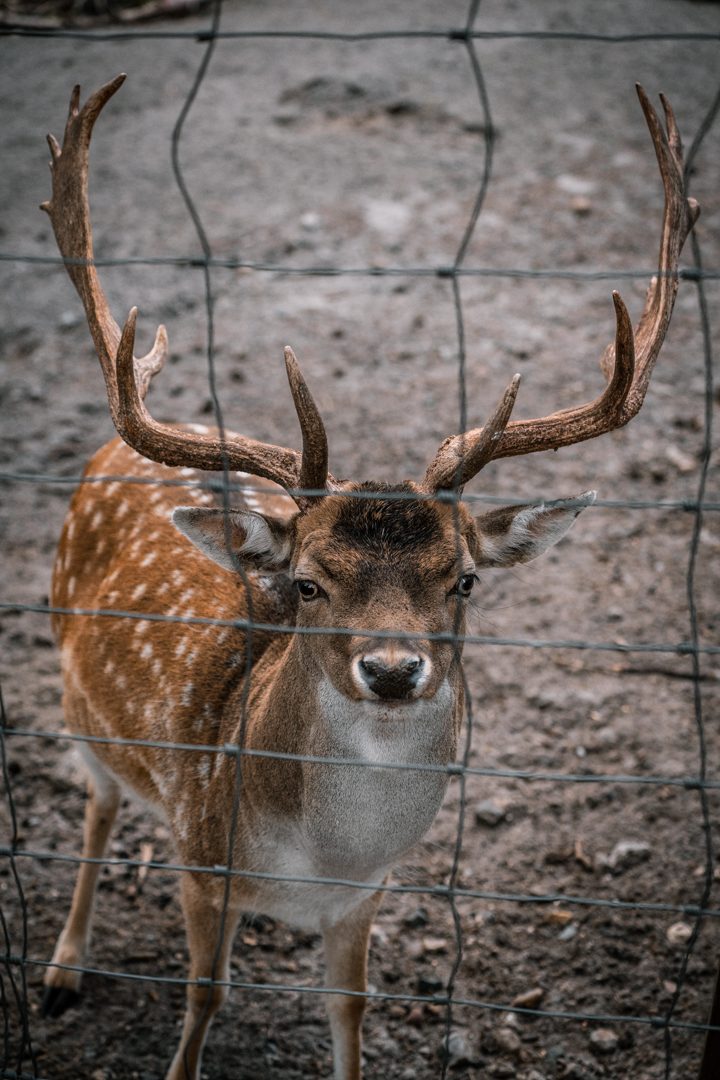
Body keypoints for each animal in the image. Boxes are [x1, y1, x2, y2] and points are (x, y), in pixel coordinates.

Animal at [38, 74, 697, 1080]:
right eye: (309, 583)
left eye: (463, 580)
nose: (392, 669)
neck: (313, 860)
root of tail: (117, 443)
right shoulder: (200, 855)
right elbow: (204, 997)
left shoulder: (367, 897)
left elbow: (350, 1010)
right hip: (76, 703)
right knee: (98, 804)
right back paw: (63, 969)